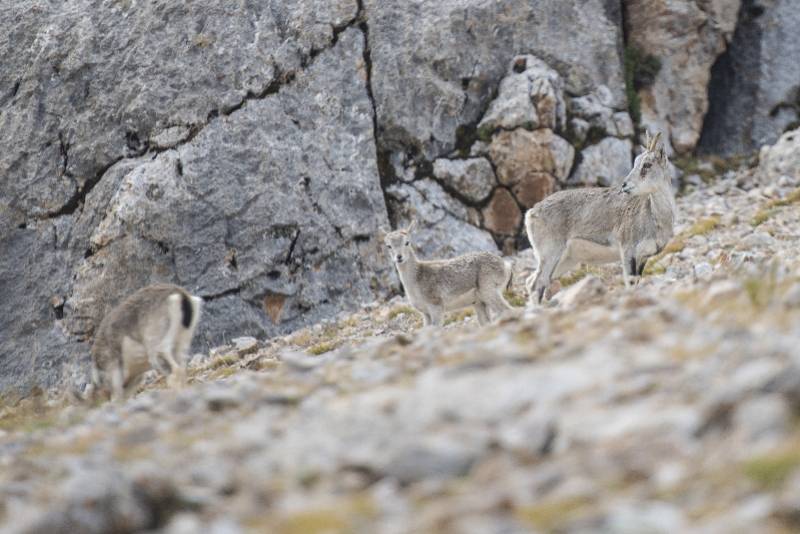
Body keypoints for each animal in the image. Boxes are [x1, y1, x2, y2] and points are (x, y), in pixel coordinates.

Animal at [382, 222, 512, 326]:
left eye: (407, 242)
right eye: (388, 246)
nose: (399, 257)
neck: (416, 280)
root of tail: (505, 266)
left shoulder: (436, 308)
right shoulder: (426, 314)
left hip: (489, 293)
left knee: (508, 310)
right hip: (480, 303)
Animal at [524, 132, 676, 304]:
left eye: (647, 164)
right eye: (636, 162)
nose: (625, 185)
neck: (655, 218)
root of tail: (532, 212)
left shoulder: (643, 257)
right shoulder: (628, 252)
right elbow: (630, 283)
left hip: (565, 260)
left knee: (532, 281)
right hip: (550, 253)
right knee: (537, 284)